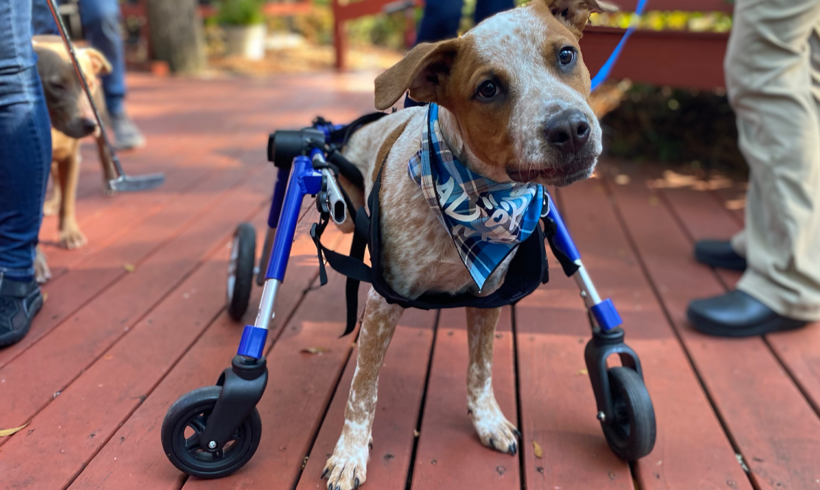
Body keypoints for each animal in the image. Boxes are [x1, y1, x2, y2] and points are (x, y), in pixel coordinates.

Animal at [32, 36, 117, 282]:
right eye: (56, 86)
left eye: (87, 83)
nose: (89, 124)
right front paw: (35, 262)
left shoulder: (71, 158)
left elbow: (69, 202)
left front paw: (69, 233)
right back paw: (52, 202)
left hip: (101, 122)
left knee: (104, 153)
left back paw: (109, 182)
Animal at [322, 1, 616, 488]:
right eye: (488, 88)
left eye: (566, 55)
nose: (571, 129)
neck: (476, 201)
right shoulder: (383, 302)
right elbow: (363, 389)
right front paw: (349, 454)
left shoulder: (489, 298)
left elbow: (481, 369)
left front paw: (488, 421)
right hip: (343, 213)